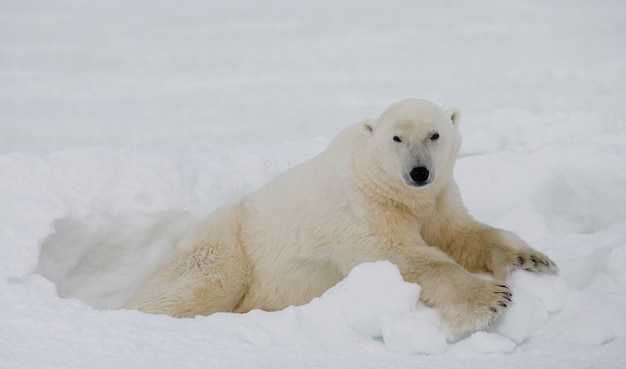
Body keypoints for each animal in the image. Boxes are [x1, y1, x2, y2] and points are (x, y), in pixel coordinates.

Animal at [127, 98, 556, 334]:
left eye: (434, 134)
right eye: (397, 138)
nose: (419, 172)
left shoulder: (439, 200)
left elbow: (462, 233)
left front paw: (532, 259)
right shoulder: (364, 208)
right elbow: (402, 256)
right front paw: (492, 298)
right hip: (226, 248)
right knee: (199, 286)